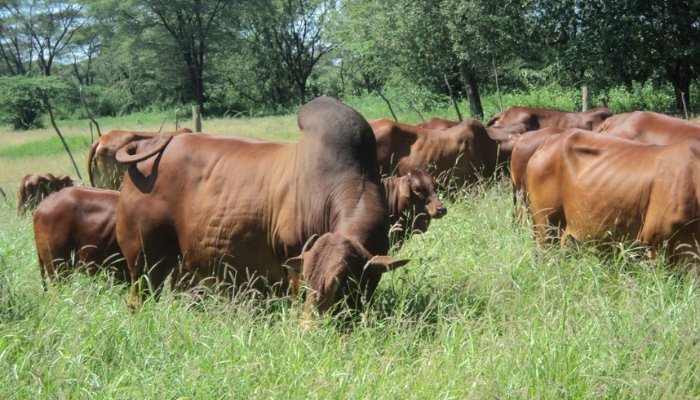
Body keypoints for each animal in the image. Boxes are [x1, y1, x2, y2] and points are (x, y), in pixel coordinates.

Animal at [115, 96, 409, 319]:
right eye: (309, 284)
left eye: (343, 284)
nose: (310, 327)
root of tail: (147, 142)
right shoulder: (293, 261)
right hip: (142, 261)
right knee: (138, 297)